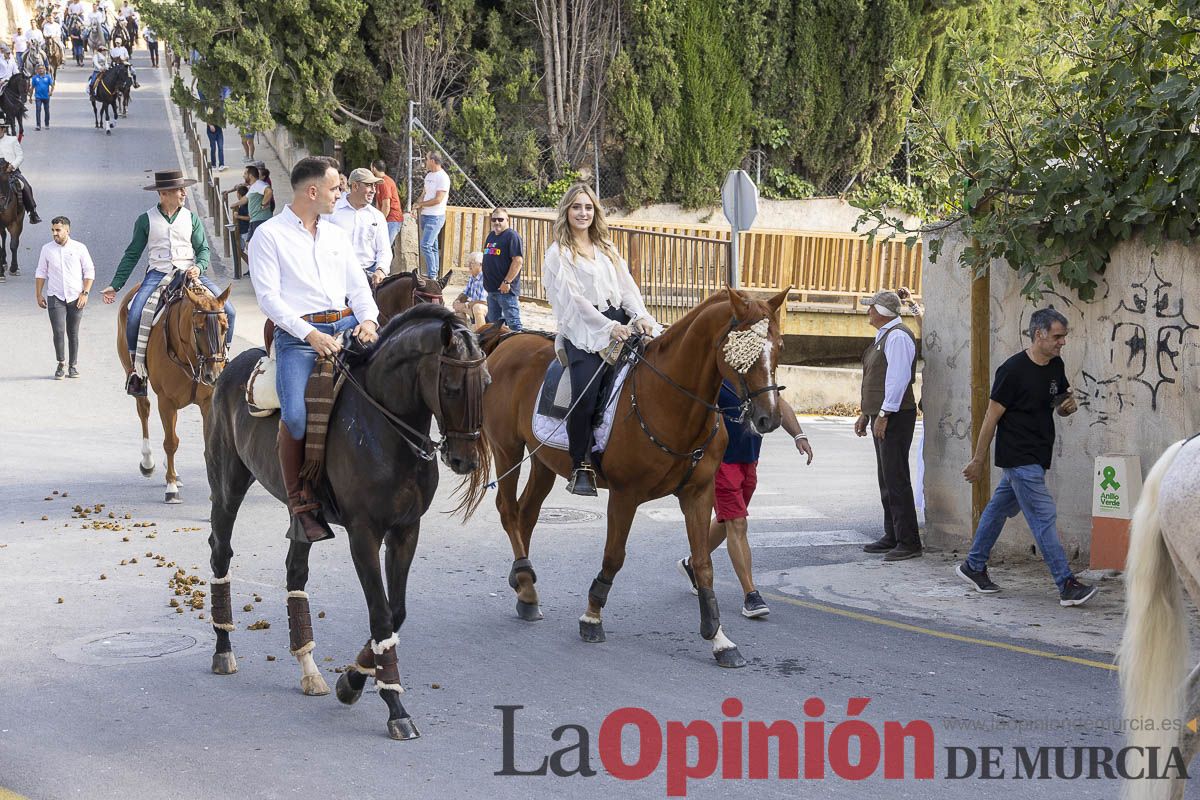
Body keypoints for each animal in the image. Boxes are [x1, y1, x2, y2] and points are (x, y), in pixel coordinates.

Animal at [117, 277, 232, 503]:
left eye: (225, 327)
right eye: (198, 329)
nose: (213, 375)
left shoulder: (207, 402)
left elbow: (207, 443)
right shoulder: (166, 401)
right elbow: (170, 442)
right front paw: (170, 488)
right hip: (134, 375)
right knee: (144, 410)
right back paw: (148, 463)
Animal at [204, 304, 490, 739]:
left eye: (487, 383)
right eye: (453, 387)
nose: (465, 460)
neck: (385, 429)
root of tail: (233, 368)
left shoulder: (406, 530)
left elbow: (396, 612)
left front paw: (352, 680)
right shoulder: (364, 534)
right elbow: (381, 613)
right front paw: (395, 707)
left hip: (299, 517)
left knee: (295, 573)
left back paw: (309, 670)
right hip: (227, 486)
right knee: (221, 552)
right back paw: (224, 649)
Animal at [476, 288, 787, 667]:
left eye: (779, 345)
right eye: (743, 349)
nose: (768, 418)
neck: (670, 401)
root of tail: (509, 339)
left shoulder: (698, 493)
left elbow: (703, 563)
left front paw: (718, 638)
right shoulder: (625, 495)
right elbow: (614, 556)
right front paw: (592, 616)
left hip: (543, 460)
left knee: (527, 514)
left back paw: (526, 590)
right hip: (507, 448)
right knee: (508, 510)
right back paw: (524, 578)